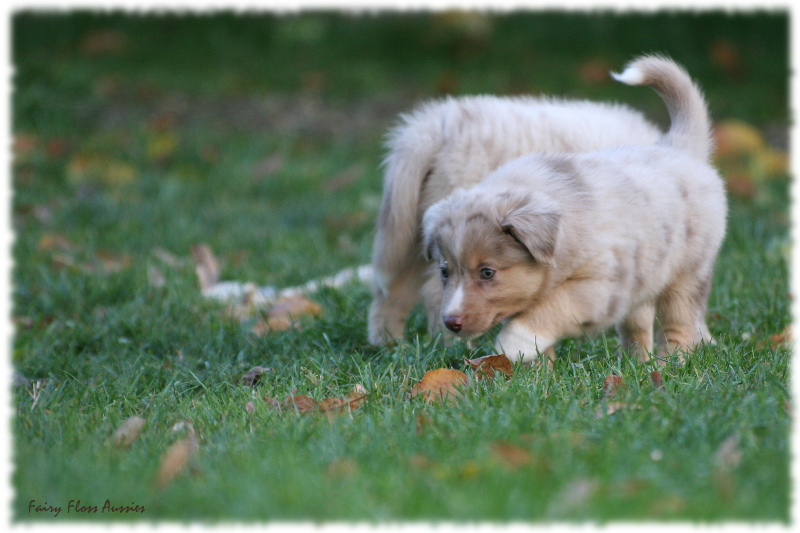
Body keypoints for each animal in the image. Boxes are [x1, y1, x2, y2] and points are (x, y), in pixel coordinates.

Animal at [368, 90, 664, 344]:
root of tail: (432, 129)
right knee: (434, 291)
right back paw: (451, 344)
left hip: (413, 227)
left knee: (391, 290)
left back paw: (389, 344)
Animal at [422, 56, 728, 366]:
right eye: (444, 271)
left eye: (487, 273)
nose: (451, 322)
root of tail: (679, 146)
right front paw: (541, 369)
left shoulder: (600, 285)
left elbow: (553, 308)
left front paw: (512, 345)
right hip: (645, 270)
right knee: (638, 323)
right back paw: (636, 363)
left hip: (689, 271)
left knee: (680, 321)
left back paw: (671, 363)